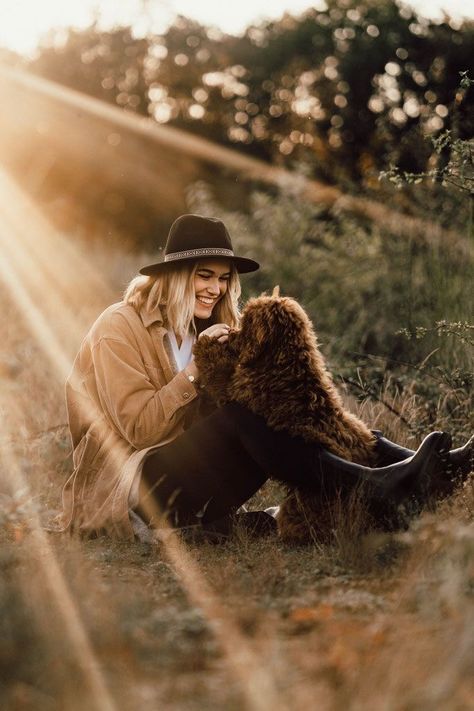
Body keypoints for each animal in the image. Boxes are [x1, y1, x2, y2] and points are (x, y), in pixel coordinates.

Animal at [193, 292, 378, 544]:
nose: (230, 334)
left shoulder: (235, 395)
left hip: (301, 506)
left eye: (246, 324)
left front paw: (206, 344)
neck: (284, 363)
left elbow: (217, 373)